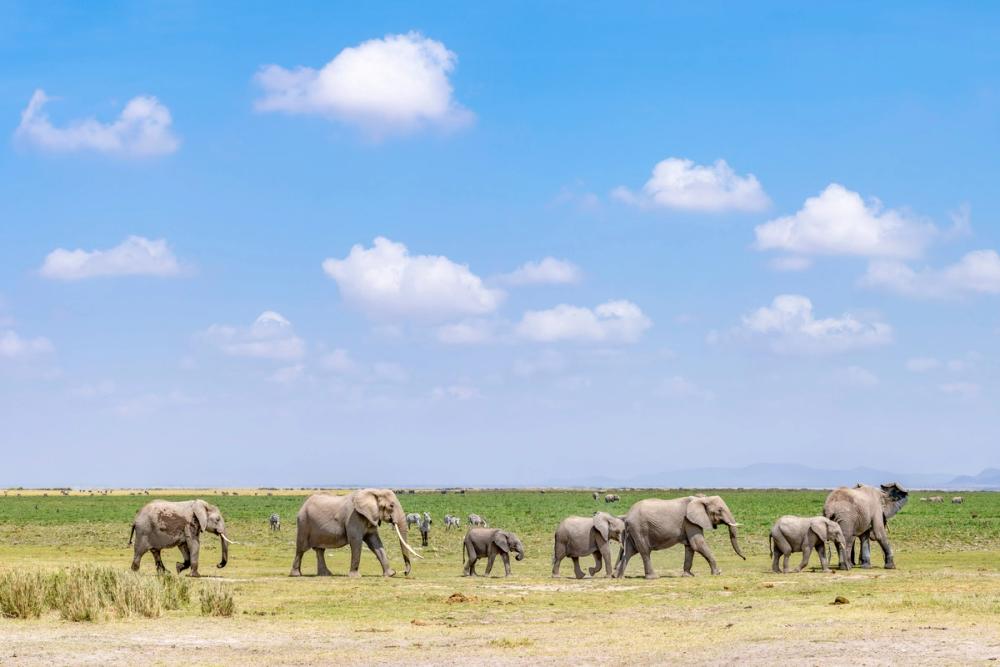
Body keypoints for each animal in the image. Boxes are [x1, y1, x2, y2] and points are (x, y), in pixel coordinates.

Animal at [289, 489, 423, 578]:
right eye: (391, 505)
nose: (404, 572)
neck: (374, 492)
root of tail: (303, 505)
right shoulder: (354, 517)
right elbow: (356, 541)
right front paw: (356, 576)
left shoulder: (370, 517)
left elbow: (375, 543)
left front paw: (390, 574)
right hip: (303, 522)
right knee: (301, 549)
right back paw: (296, 575)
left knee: (319, 550)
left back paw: (325, 575)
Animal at [615, 495, 745, 579]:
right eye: (719, 510)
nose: (745, 558)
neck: (702, 499)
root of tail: (627, 517)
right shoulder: (689, 521)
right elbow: (697, 544)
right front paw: (717, 573)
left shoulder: (689, 522)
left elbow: (690, 547)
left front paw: (688, 575)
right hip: (640, 529)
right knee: (645, 551)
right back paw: (653, 577)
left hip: (633, 531)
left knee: (630, 551)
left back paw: (620, 577)